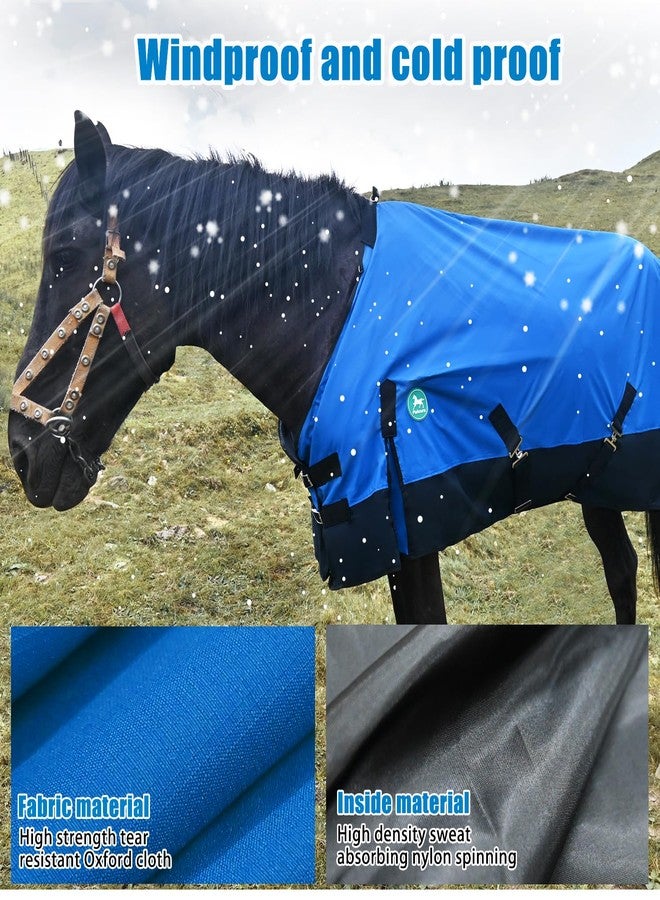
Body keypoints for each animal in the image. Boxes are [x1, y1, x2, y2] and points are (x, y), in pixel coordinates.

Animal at [7, 111, 659, 625]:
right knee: (620, 568)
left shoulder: (409, 528)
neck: (335, 314)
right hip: (591, 476)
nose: (20, 453)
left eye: (64, 256)